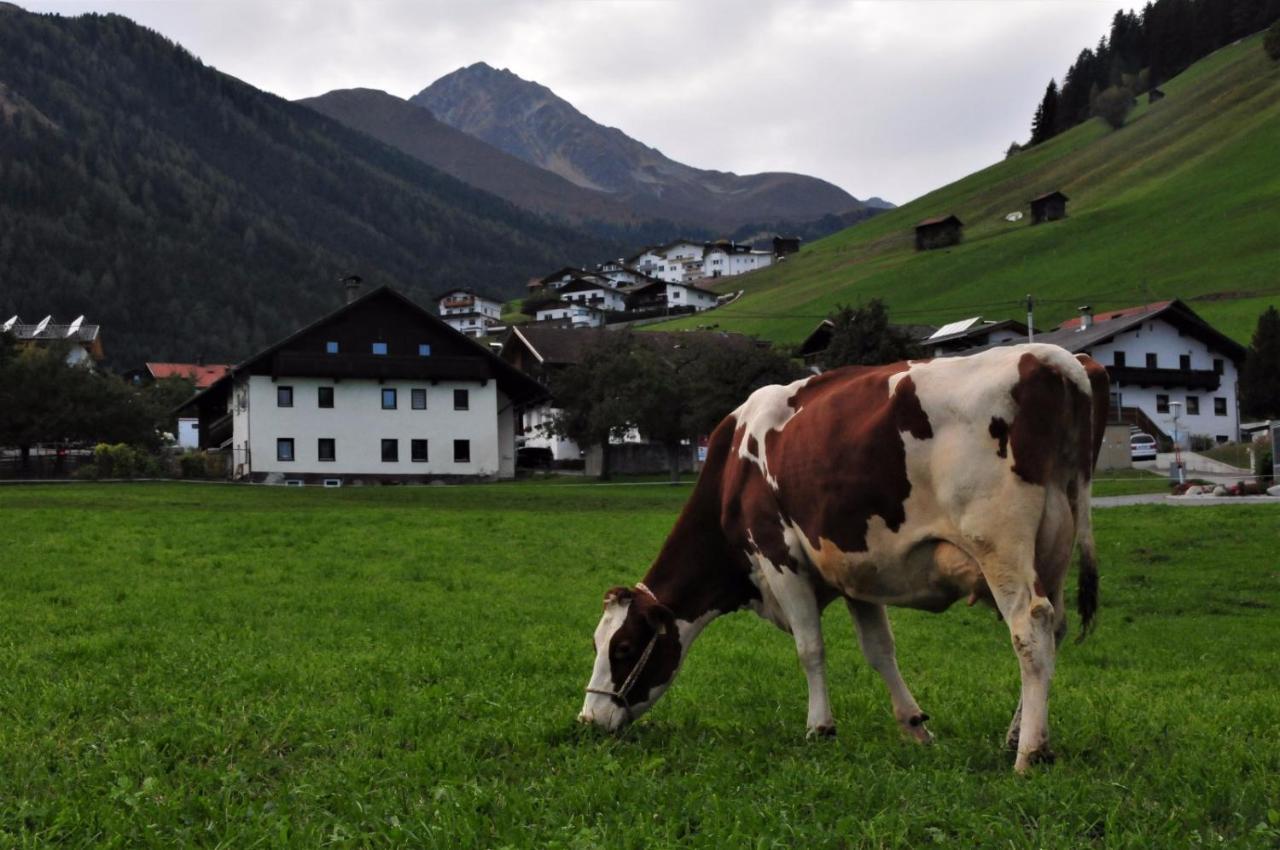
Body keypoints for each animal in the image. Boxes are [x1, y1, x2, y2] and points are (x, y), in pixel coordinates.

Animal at [583, 343, 1111, 768]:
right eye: (596, 643)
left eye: (623, 648)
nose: (588, 719)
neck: (734, 465)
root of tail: (1054, 358)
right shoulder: (857, 570)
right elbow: (879, 650)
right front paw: (914, 726)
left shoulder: (779, 555)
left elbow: (810, 648)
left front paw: (820, 728)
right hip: (1053, 546)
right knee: (1055, 627)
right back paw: (1017, 735)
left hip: (998, 543)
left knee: (1030, 628)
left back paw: (1030, 753)